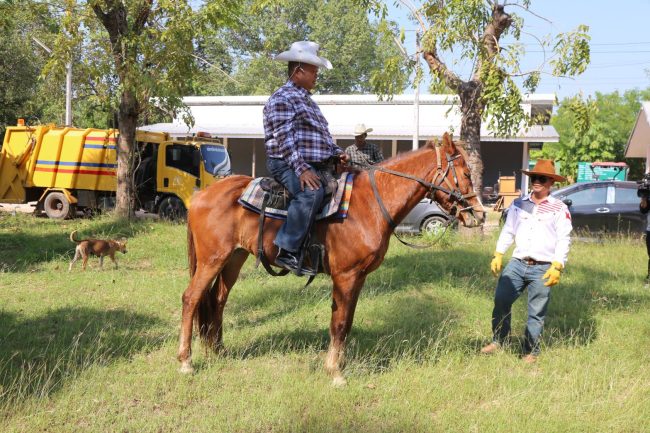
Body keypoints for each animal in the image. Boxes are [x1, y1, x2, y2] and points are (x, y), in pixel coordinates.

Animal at [176, 132, 480, 384]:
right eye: (465, 172)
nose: (477, 213)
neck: (369, 204)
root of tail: (201, 194)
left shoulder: (358, 278)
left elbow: (345, 321)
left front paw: (338, 364)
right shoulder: (345, 276)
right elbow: (340, 323)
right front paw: (335, 372)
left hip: (233, 259)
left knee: (217, 299)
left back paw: (218, 350)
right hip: (212, 259)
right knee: (191, 298)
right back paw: (186, 361)